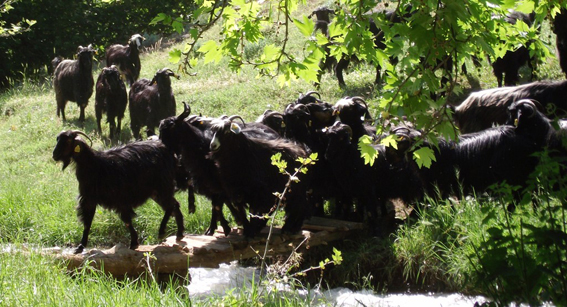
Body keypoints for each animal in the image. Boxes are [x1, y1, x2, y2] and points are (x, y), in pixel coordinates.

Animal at [52, 129, 184, 253]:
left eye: (68, 140)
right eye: (57, 139)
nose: (54, 155)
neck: (94, 165)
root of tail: (170, 152)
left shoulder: (120, 197)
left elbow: (126, 220)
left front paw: (134, 243)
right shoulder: (89, 198)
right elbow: (87, 222)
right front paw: (80, 247)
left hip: (163, 186)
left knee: (171, 206)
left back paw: (162, 231)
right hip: (156, 191)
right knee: (174, 205)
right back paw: (179, 234)